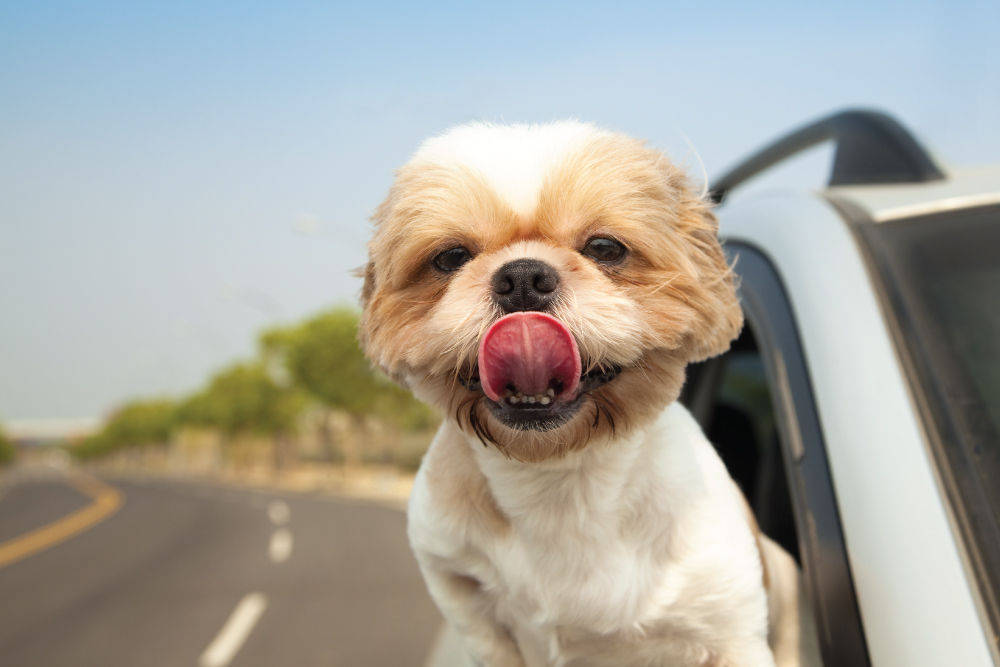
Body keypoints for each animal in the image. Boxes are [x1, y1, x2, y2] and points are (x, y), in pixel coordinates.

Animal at [358, 122, 796, 664]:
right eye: (451, 257)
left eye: (605, 248)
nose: (522, 276)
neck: (560, 482)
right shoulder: (461, 592)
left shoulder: (728, 623)